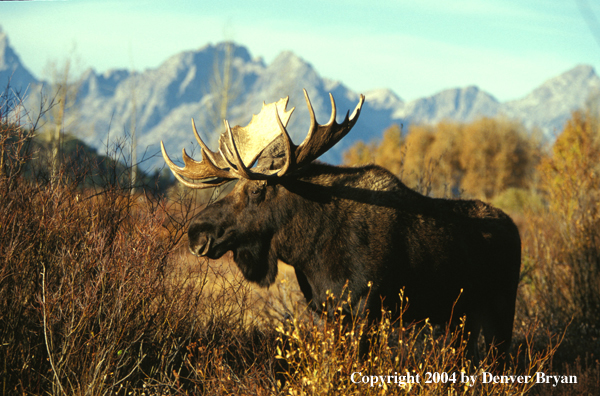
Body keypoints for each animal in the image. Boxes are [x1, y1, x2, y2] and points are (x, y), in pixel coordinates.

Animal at [162, 90, 524, 362]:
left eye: (256, 189)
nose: (196, 233)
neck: (309, 252)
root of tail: (515, 228)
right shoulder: (327, 311)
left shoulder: (366, 309)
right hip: (462, 317)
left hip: (501, 309)